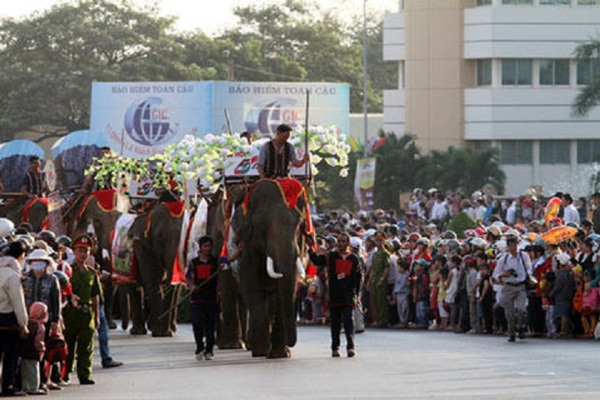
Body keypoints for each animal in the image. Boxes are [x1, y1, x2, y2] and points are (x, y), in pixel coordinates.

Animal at [130, 203, 186, 338]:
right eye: (160, 236)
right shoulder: (143, 246)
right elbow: (151, 278)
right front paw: (160, 332)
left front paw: (166, 333)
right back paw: (139, 331)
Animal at [231, 180, 310, 358]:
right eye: (261, 225)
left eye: (299, 224)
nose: (291, 342)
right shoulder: (248, 245)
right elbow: (249, 282)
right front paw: (261, 350)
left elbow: (287, 288)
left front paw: (280, 354)